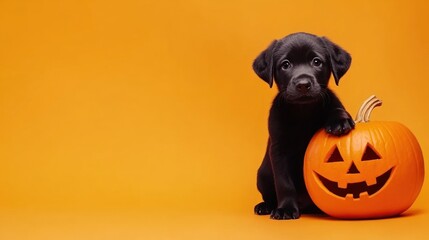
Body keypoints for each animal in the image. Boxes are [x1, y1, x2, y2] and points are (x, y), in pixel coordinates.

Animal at [252, 32, 352, 220]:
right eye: (285, 64)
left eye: (316, 61)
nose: (303, 84)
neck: (303, 111)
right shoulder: (279, 151)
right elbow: (284, 183)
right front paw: (285, 208)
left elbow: (337, 107)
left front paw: (340, 121)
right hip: (262, 175)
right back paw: (266, 206)